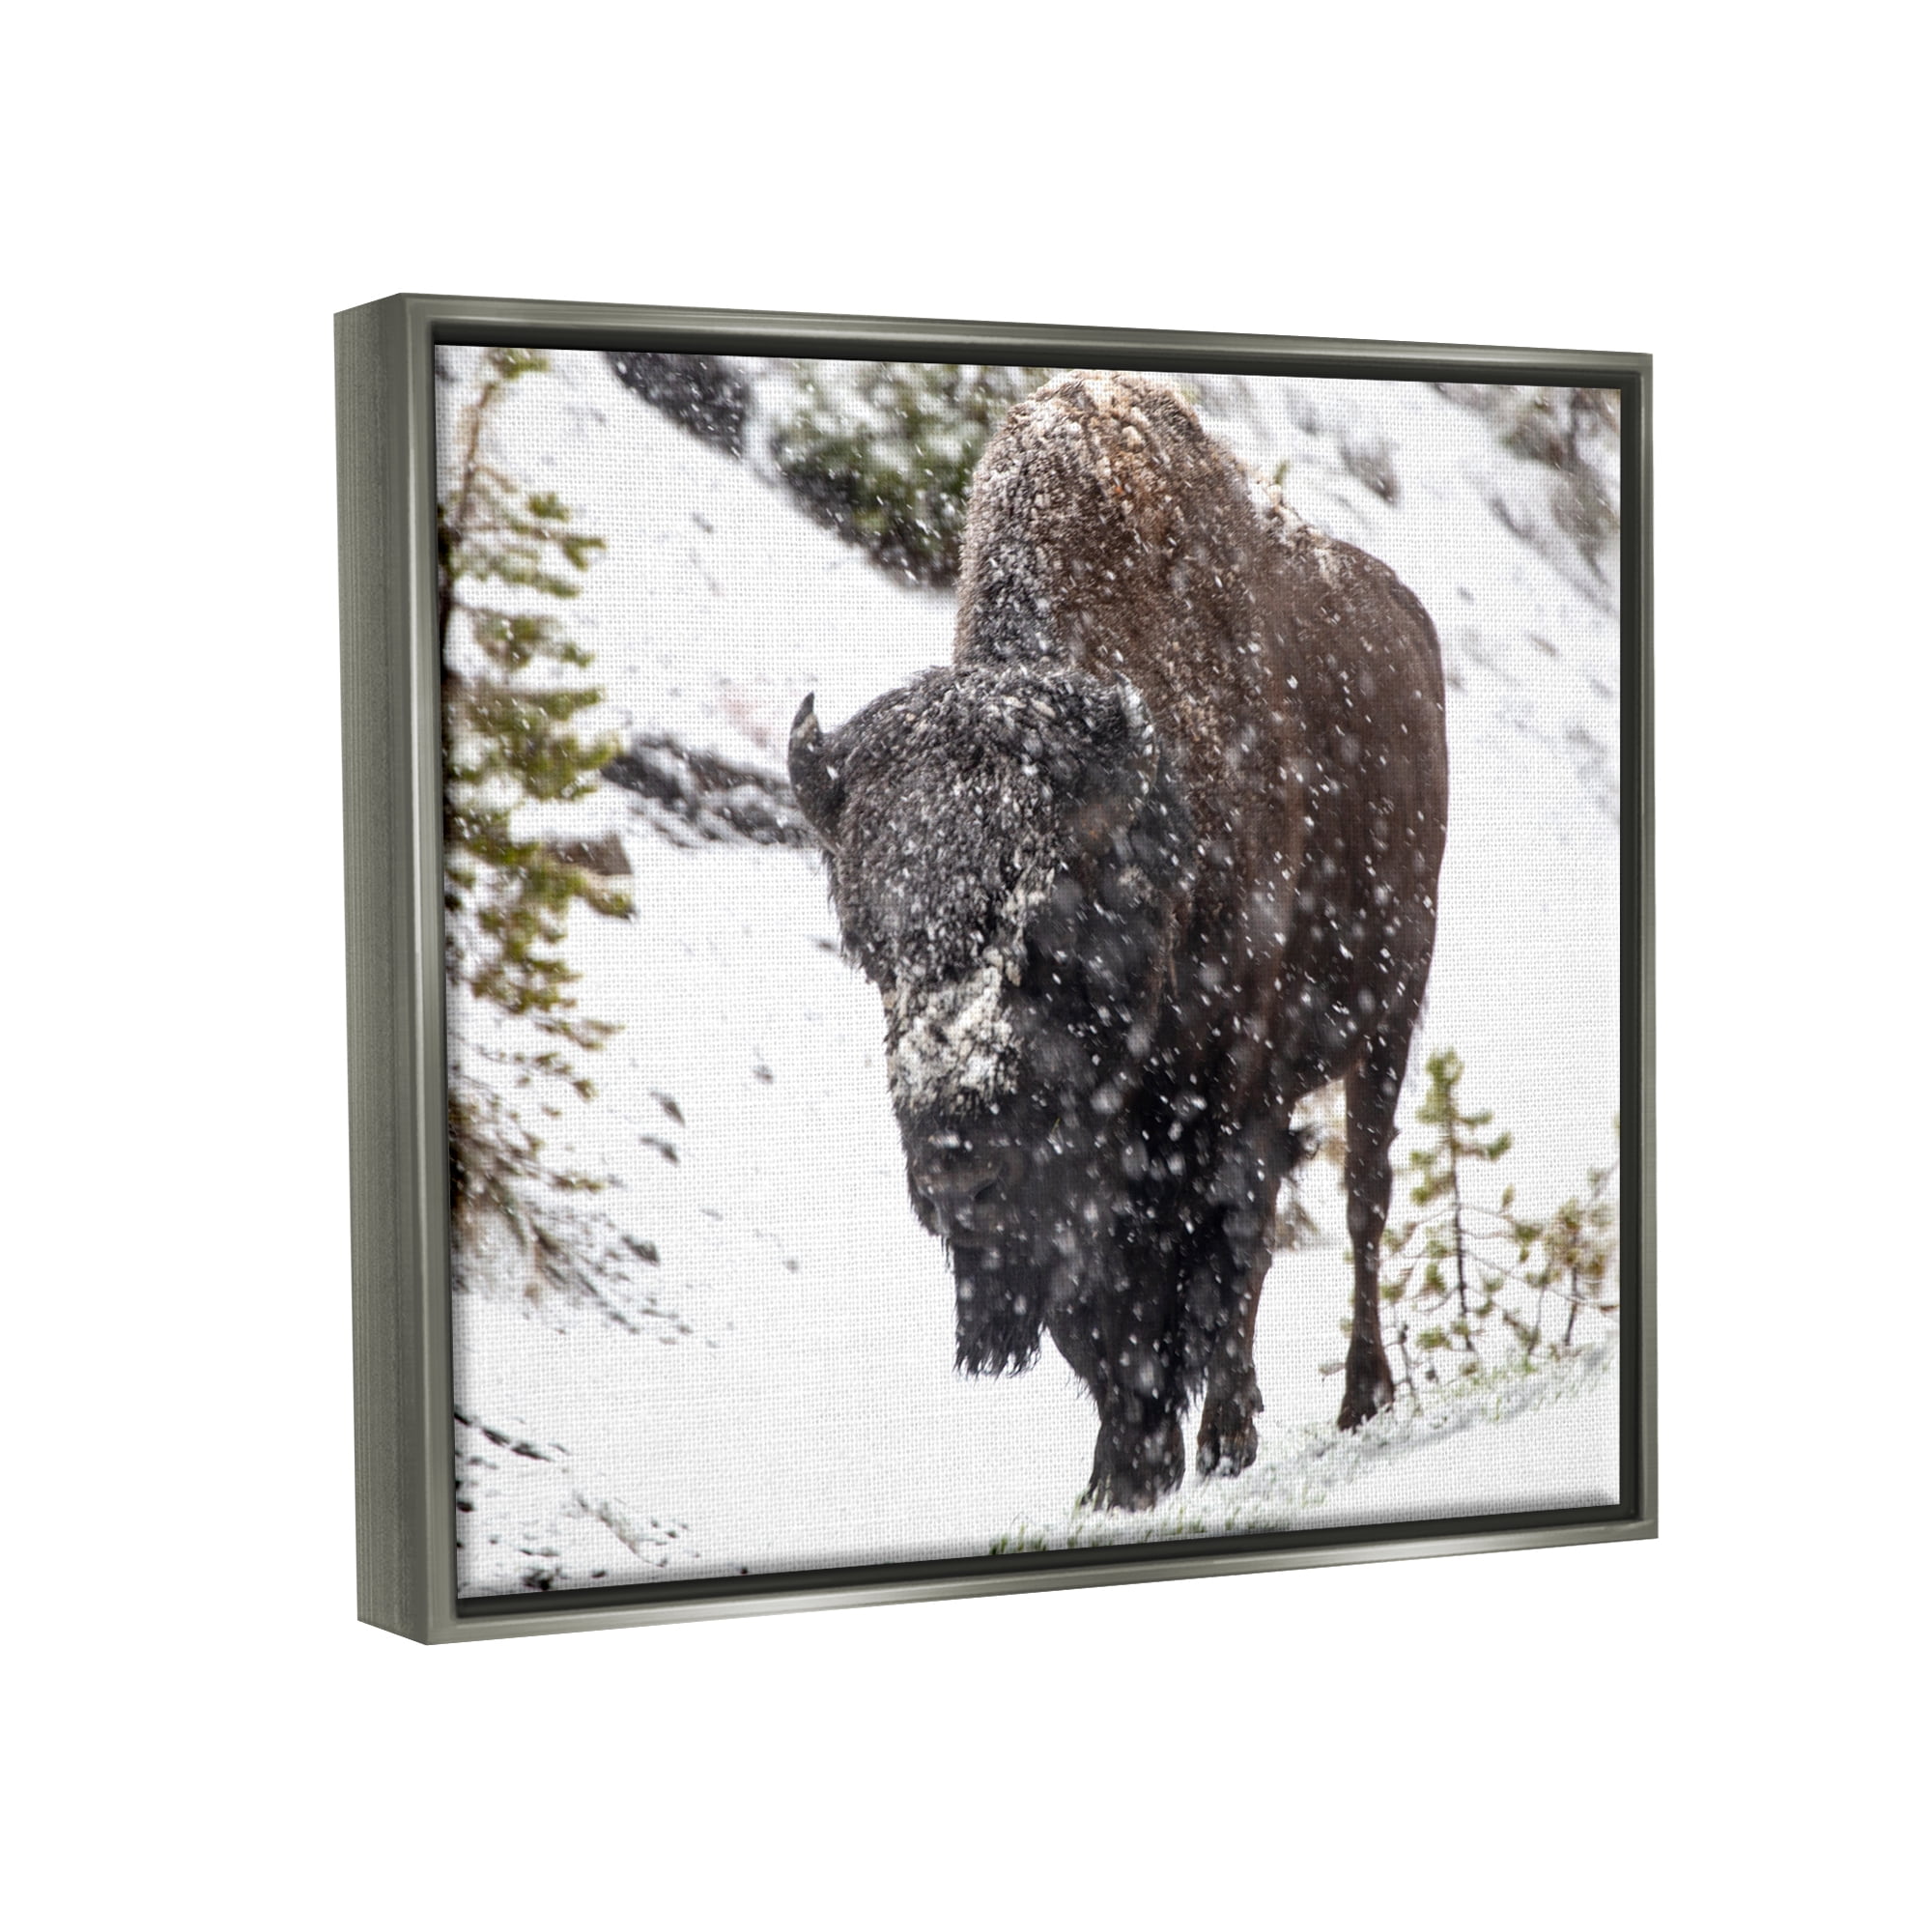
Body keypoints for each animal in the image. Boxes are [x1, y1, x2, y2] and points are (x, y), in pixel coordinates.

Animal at [789, 372, 1448, 1509]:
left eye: (1043, 932)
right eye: (868, 950)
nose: (956, 1172)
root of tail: (1408, 625)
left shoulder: (1224, 1106)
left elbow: (1212, 1263)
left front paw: (1198, 1448)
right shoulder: (1089, 1180)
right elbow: (1102, 1320)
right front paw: (1120, 1474)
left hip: (1387, 1018)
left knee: (1360, 1204)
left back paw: (1359, 1398)